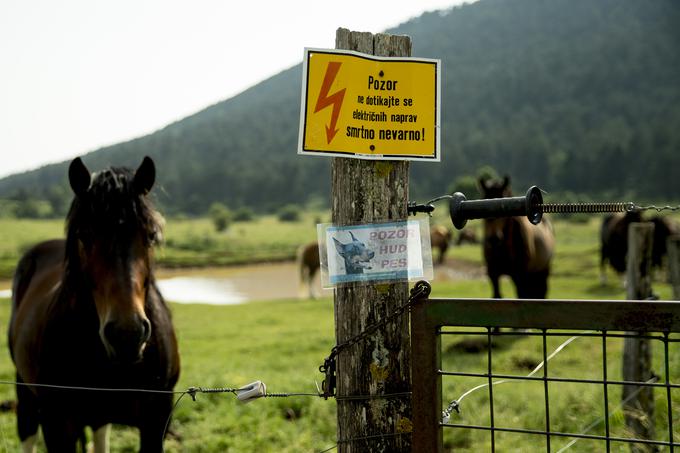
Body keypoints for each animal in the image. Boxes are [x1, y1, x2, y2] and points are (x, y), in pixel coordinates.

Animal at [9, 156, 179, 452]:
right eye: (84, 235)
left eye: (150, 235)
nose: (127, 334)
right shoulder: (57, 424)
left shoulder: (156, 420)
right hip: (24, 387)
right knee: (27, 430)